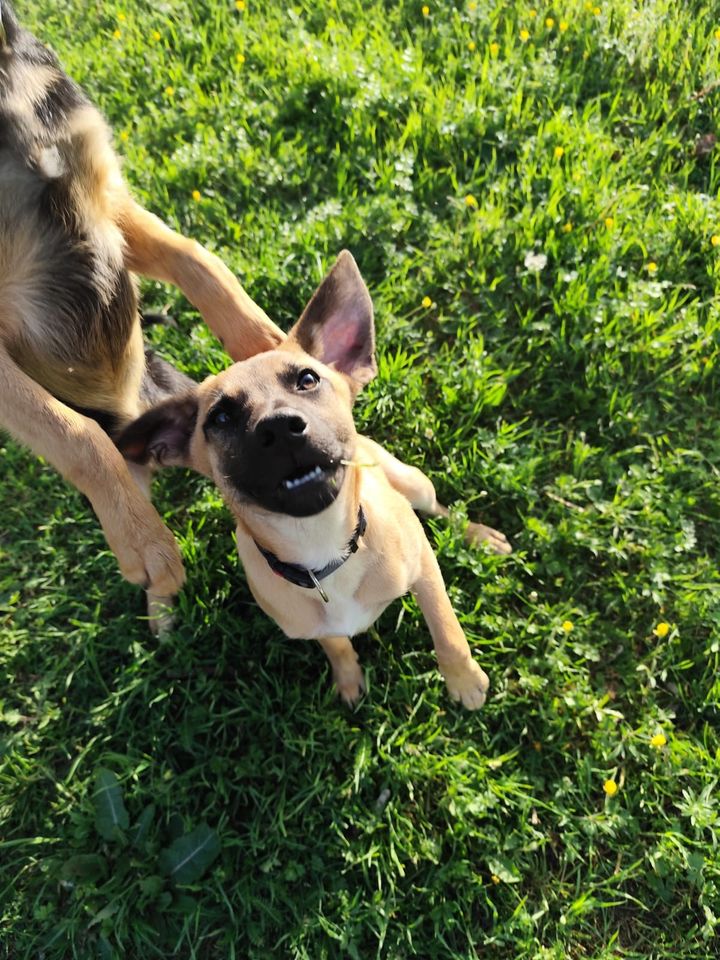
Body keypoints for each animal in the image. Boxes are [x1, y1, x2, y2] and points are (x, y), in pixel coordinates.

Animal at [0, 0, 282, 628]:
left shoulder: (107, 197)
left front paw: (267, 343)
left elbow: (197, 259)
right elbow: (73, 432)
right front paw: (142, 543)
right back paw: (162, 604)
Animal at [119, 251, 512, 708]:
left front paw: (464, 681)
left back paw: (481, 536)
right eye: (219, 418)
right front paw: (348, 679)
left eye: (307, 379)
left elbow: (447, 631)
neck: (323, 548)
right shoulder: (310, 625)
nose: (279, 428)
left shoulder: (425, 573)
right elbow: (336, 643)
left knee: (441, 510)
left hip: (414, 484)